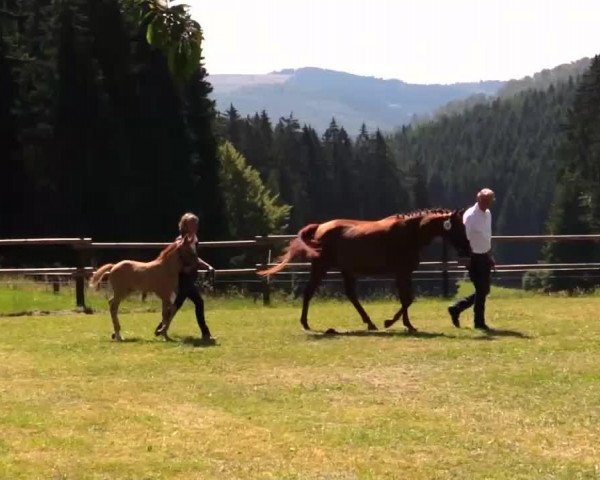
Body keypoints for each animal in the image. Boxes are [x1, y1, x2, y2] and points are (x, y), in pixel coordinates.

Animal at [256, 208, 468, 332]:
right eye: (458, 226)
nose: (466, 248)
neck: (410, 232)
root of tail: (319, 228)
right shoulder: (401, 273)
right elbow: (407, 299)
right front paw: (390, 322)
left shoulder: (405, 274)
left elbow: (406, 299)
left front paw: (408, 325)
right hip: (321, 268)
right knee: (309, 292)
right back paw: (305, 323)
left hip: (346, 271)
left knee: (351, 296)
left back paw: (370, 323)